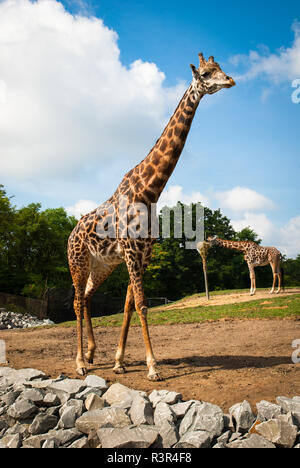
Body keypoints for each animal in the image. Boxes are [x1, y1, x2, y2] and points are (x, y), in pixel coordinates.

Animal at [68, 53, 237, 380]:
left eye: (221, 68)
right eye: (207, 73)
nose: (230, 81)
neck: (150, 191)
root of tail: (70, 235)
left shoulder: (144, 254)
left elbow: (129, 305)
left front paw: (119, 361)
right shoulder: (132, 252)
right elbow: (143, 305)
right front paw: (152, 367)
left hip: (101, 265)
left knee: (86, 298)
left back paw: (93, 354)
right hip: (78, 261)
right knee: (77, 301)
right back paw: (80, 362)